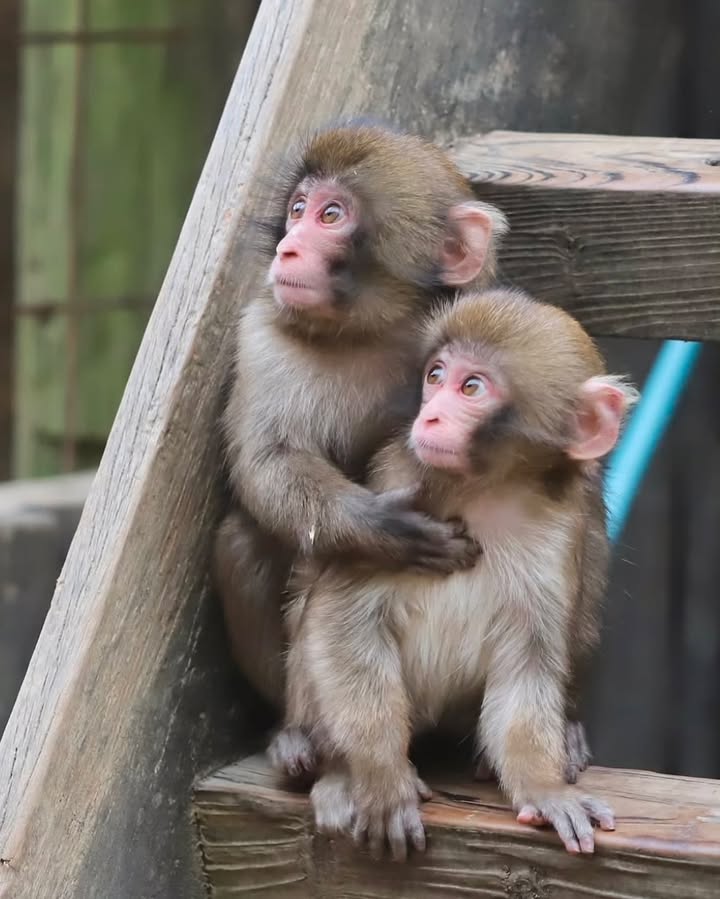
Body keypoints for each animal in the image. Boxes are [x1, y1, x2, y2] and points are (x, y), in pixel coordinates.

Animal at [284, 292, 640, 860]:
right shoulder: (394, 486)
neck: (484, 491)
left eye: (472, 387)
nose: (429, 417)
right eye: (435, 376)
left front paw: (543, 787)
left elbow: (527, 663)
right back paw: (334, 769)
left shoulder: (557, 529)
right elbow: (343, 622)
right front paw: (382, 777)